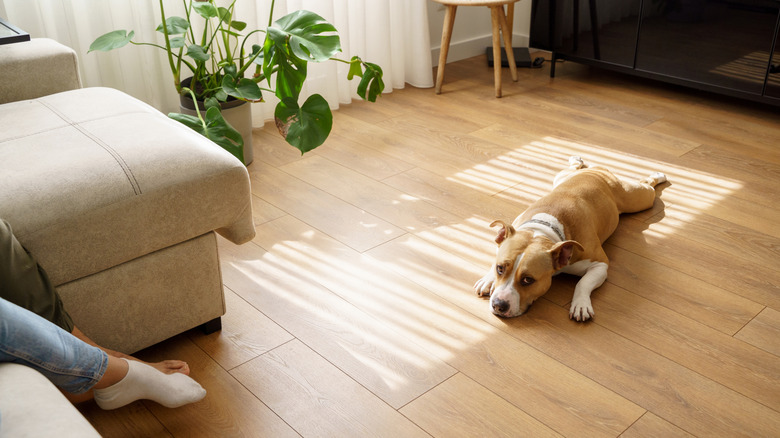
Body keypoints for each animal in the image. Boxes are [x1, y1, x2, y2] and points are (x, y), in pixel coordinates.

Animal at [476, 156, 664, 320]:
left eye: (528, 280)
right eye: (500, 268)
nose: (499, 304)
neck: (543, 230)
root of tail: (597, 170)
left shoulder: (600, 264)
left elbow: (583, 283)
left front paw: (581, 305)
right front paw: (487, 279)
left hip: (637, 198)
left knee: (647, 185)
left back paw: (658, 175)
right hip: (560, 177)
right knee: (573, 168)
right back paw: (577, 160)